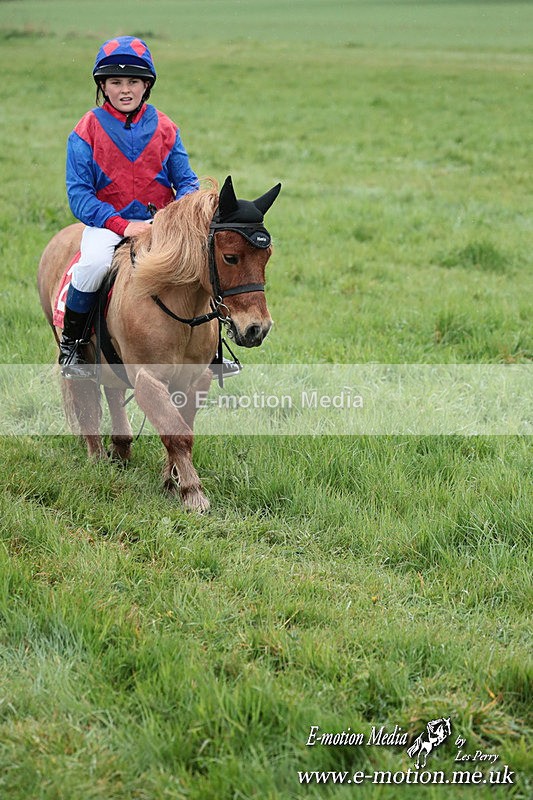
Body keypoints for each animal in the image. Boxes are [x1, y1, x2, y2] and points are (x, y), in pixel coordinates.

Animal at [37, 176, 281, 512]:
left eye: (266, 256)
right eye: (230, 257)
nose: (257, 329)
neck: (177, 306)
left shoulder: (194, 378)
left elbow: (181, 426)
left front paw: (171, 481)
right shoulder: (149, 379)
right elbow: (175, 432)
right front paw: (193, 492)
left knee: (112, 390)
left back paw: (122, 447)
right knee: (86, 398)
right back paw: (97, 457)